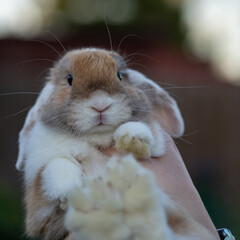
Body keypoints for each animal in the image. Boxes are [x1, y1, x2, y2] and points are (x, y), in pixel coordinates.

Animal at [15, 47, 213, 240]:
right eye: (69, 79)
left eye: (120, 75)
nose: (100, 104)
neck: (98, 138)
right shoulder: (40, 213)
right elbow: (53, 165)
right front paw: (69, 190)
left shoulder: (157, 142)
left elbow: (149, 133)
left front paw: (131, 138)